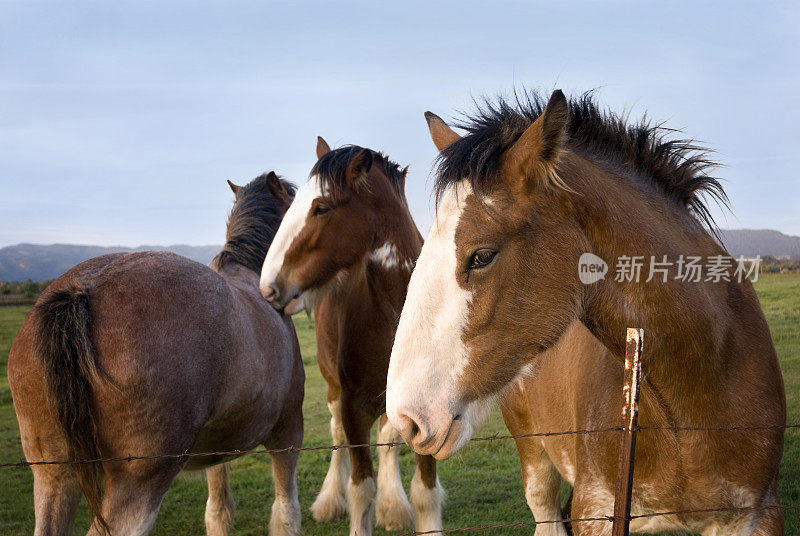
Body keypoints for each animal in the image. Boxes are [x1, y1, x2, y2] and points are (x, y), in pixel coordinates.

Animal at [7, 172, 304, 536]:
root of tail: (80, 291)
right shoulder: (288, 430)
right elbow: (286, 509)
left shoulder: (217, 446)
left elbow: (218, 509)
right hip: (140, 482)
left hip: (53, 473)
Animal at [260, 139, 440, 536]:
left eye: (321, 208)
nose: (268, 287)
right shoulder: (353, 406)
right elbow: (361, 488)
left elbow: (425, 491)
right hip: (333, 388)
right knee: (336, 435)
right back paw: (331, 499)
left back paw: (392, 506)